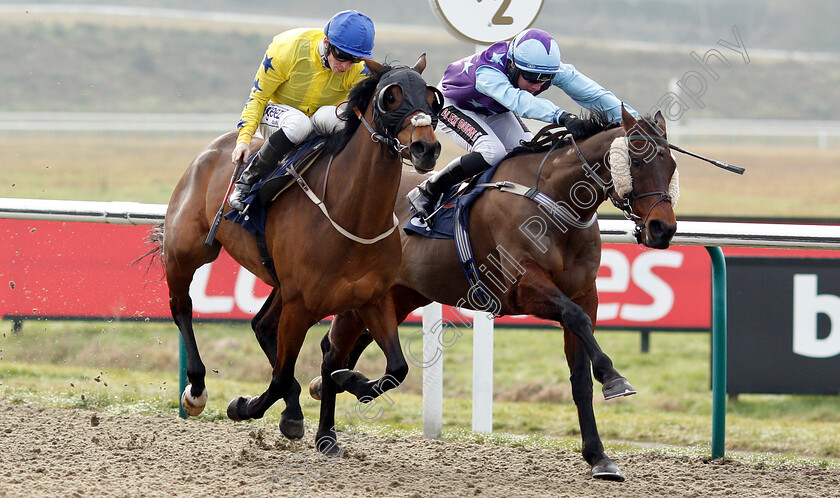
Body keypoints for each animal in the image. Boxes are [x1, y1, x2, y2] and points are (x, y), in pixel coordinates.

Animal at [148, 56, 442, 442]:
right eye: (390, 97)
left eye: (432, 98)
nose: (427, 148)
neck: (352, 215)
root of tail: (216, 147)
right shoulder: (301, 304)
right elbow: (281, 377)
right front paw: (244, 406)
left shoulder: (374, 298)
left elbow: (397, 368)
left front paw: (345, 383)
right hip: (186, 252)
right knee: (182, 306)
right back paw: (196, 390)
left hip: (279, 283)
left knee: (261, 325)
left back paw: (294, 408)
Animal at [308, 108, 676, 478]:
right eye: (637, 162)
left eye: (672, 165)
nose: (663, 228)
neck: (557, 200)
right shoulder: (523, 286)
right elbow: (576, 318)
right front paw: (613, 377)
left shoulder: (586, 294)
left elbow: (580, 378)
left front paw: (599, 456)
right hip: (363, 293)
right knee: (332, 352)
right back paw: (326, 434)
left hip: (401, 296)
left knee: (351, 347)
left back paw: (334, 386)